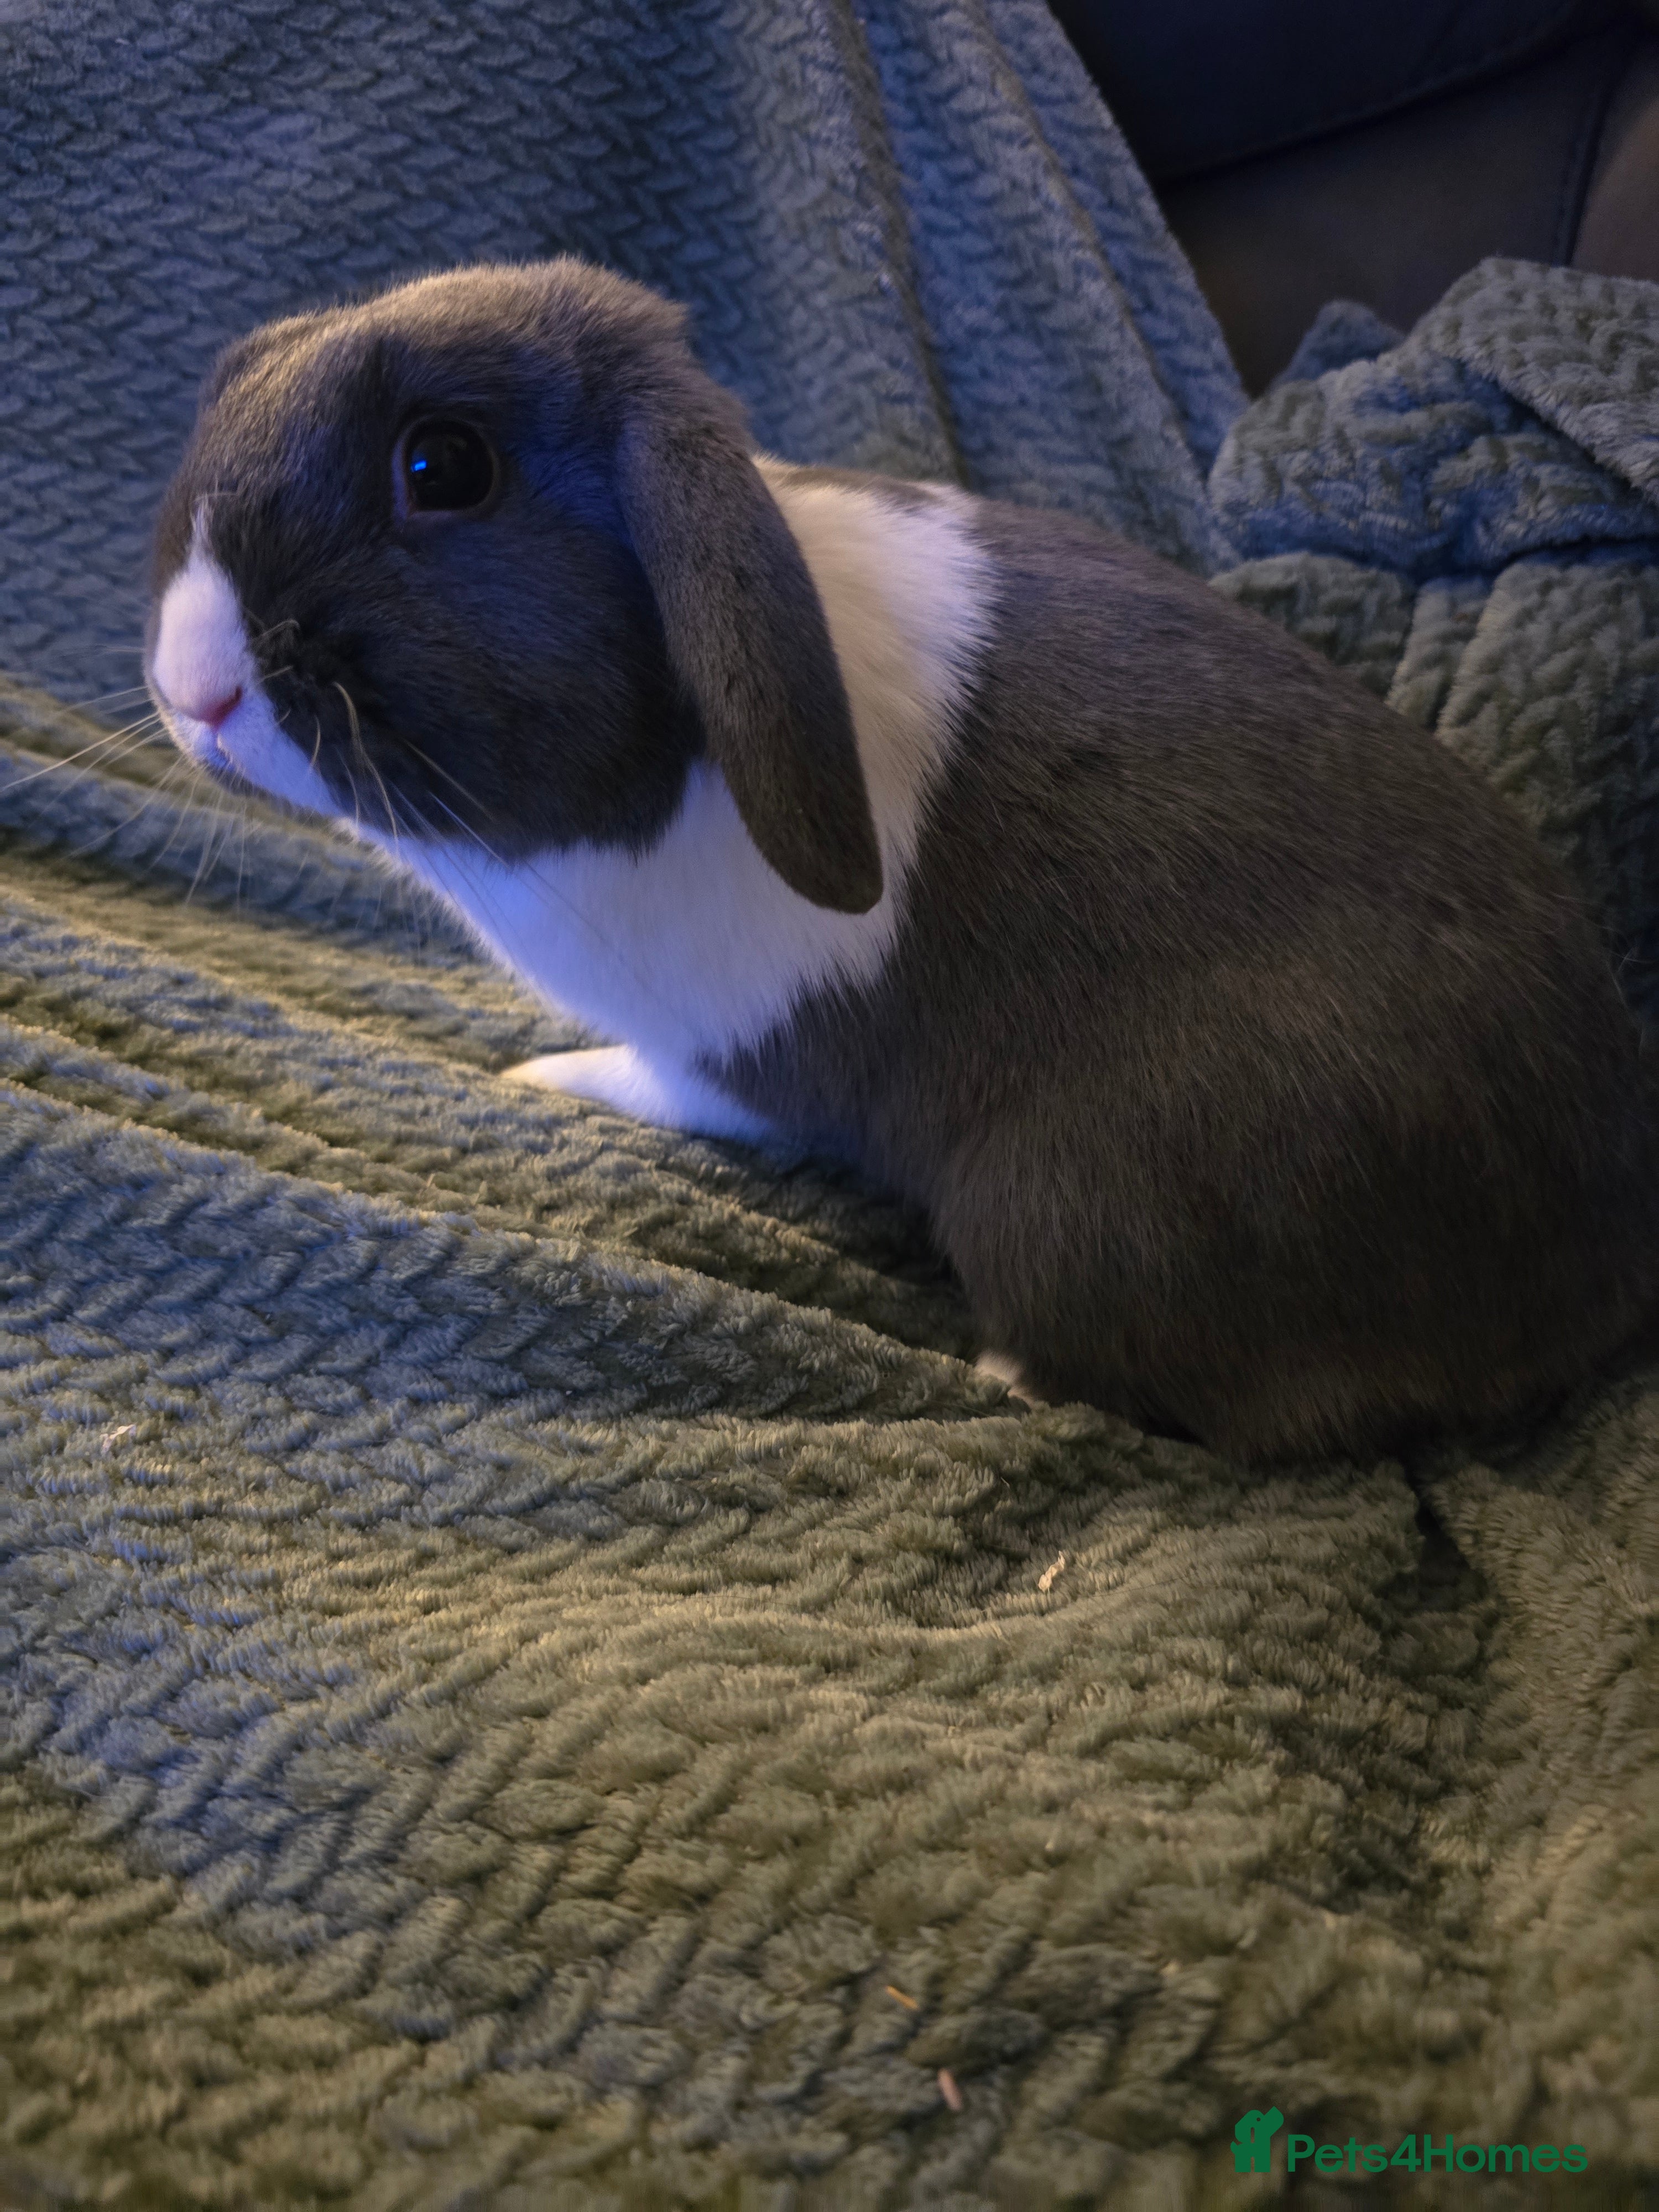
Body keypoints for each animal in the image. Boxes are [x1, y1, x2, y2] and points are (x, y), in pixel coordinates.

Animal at [144, 256, 1659, 1463]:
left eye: (442, 467)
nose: (189, 685)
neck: (681, 752)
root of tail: (1592, 1278)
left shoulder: (736, 1055)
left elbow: (675, 1090)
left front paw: (542, 1076)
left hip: (1057, 1210)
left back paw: (994, 1363)